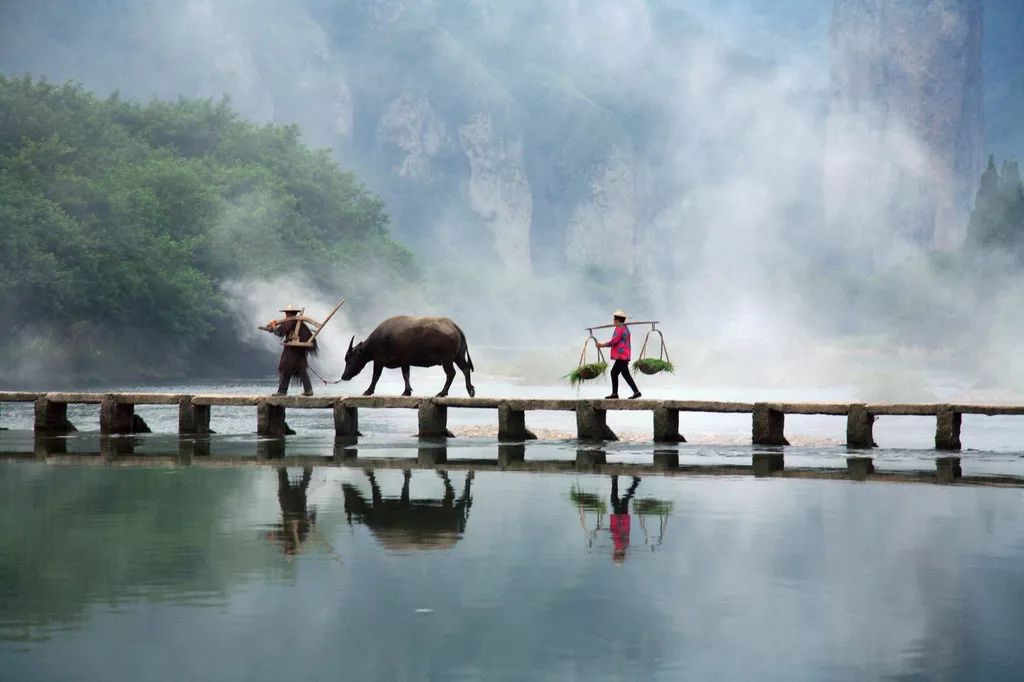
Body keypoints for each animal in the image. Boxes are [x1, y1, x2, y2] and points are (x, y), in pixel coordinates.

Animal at [339, 315, 475, 395]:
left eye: (349, 359)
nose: (344, 376)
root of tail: (454, 326)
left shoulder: (379, 360)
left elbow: (376, 376)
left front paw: (368, 391)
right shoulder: (405, 362)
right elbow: (406, 375)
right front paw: (407, 391)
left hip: (447, 359)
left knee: (451, 373)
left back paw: (442, 393)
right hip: (458, 356)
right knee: (465, 368)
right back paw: (470, 390)